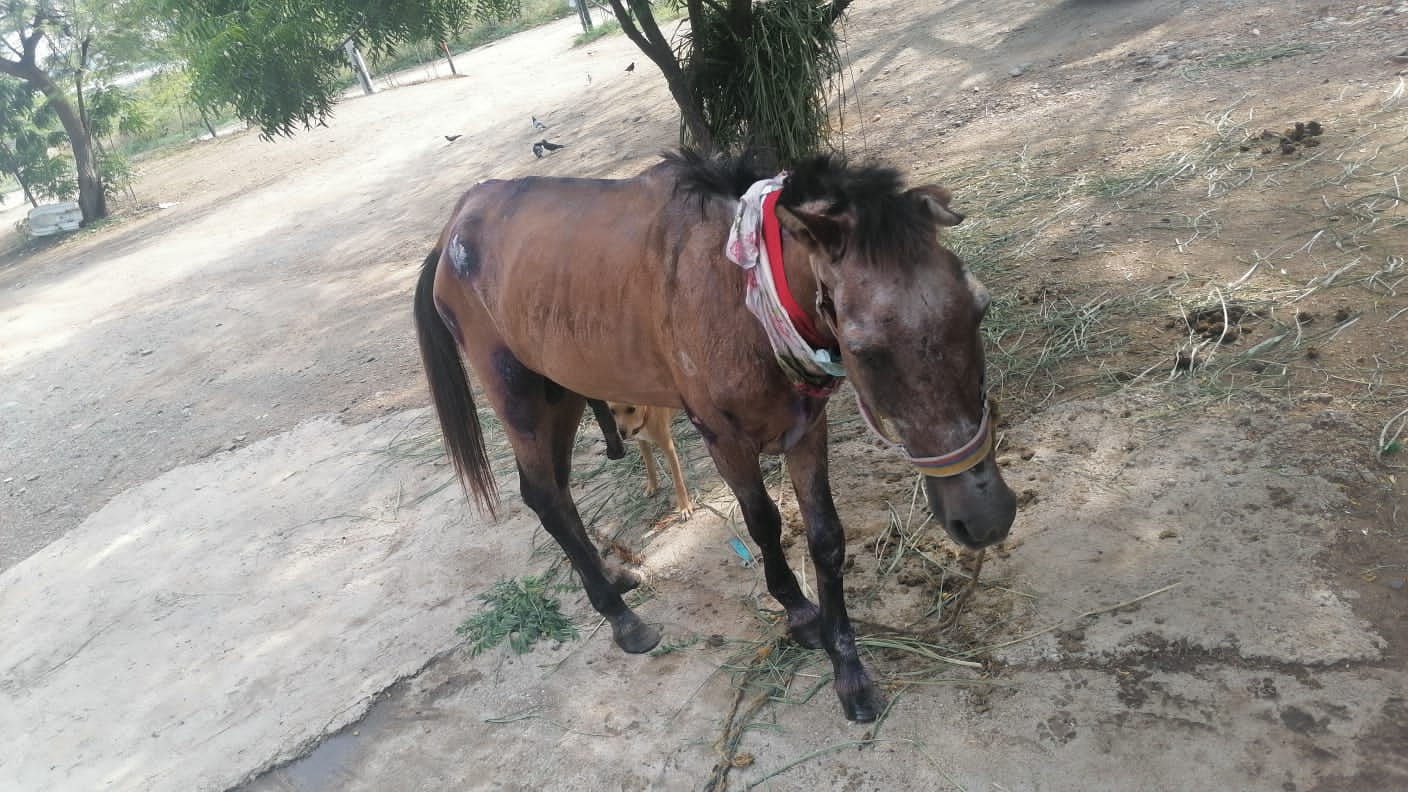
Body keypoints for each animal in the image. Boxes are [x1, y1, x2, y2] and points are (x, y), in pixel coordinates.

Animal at [411, 149, 1019, 721]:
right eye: (865, 349)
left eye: (980, 309)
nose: (985, 516)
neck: (739, 291)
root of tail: (452, 228)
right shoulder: (723, 439)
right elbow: (765, 524)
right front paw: (799, 614)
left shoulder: (806, 430)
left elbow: (825, 538)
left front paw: (847, 667)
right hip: (520, 401)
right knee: (542, 495)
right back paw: (621, 618)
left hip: (560, 391)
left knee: (556, 495)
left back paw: (612, 577)